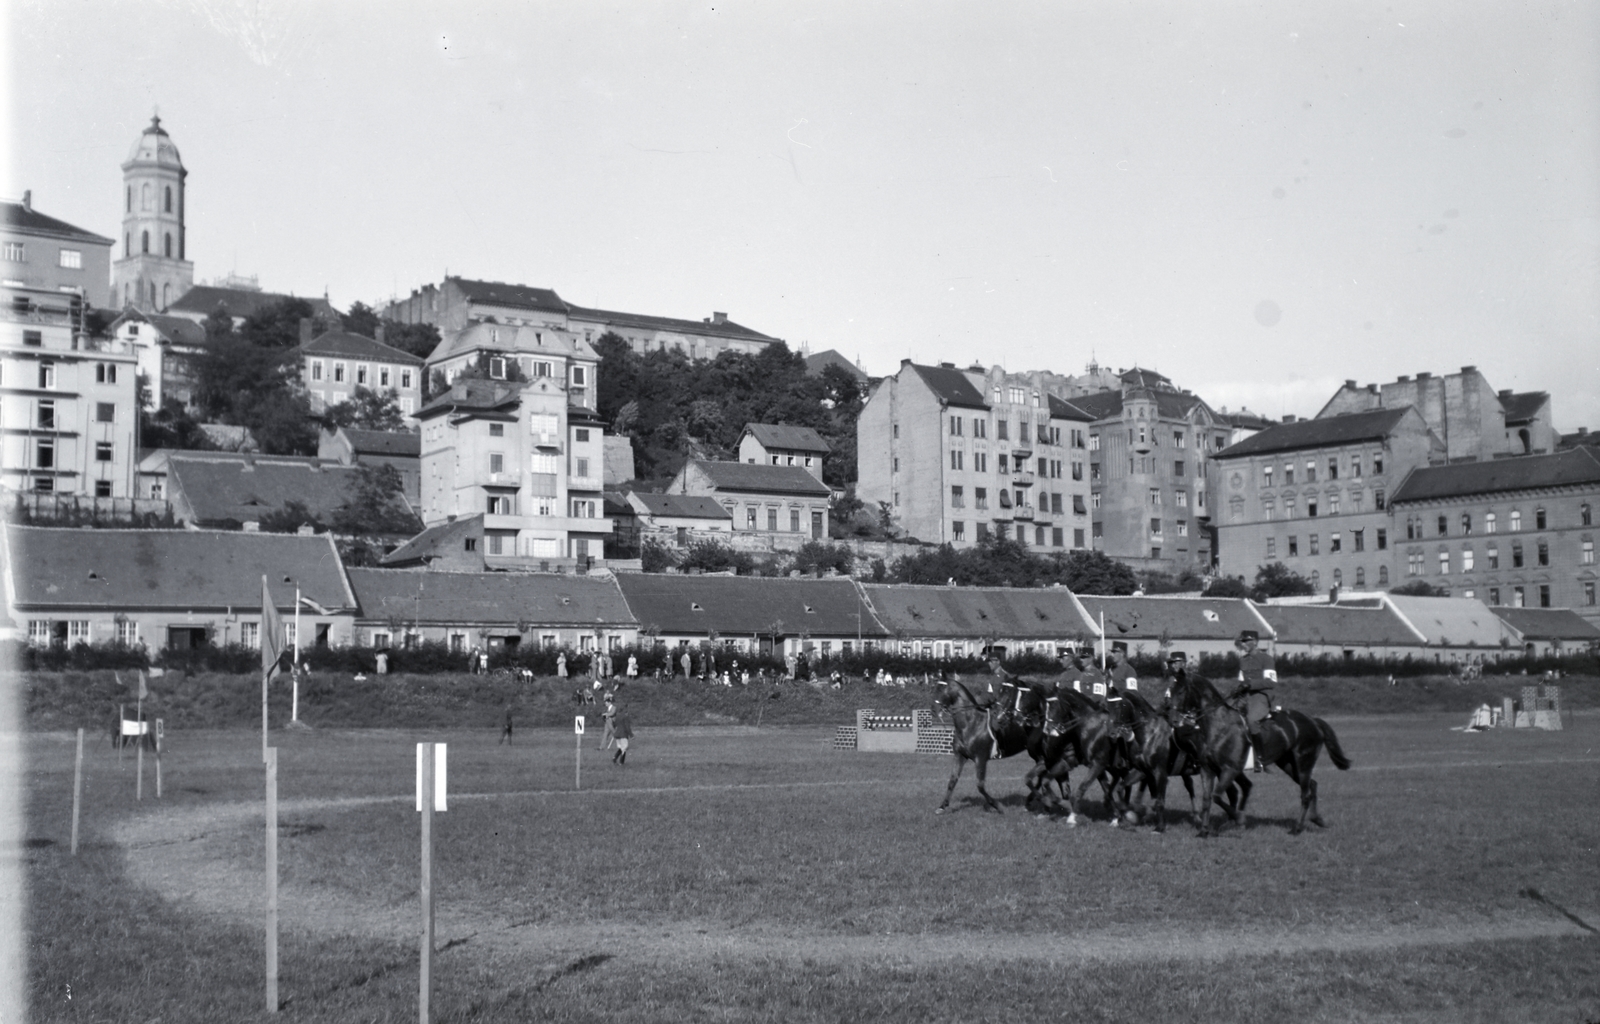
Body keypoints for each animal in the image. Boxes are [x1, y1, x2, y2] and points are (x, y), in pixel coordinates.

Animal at [934, 675, 1043, 812]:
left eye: (941, 688)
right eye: (935, 688)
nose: (933, 709)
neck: (971, 723)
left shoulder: (980, 759)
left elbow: (980, 785)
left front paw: (997, 806)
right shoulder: (960, 756)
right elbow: (952, 780)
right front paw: (942, 806)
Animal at [1177, 672, 1350, 832]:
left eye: (1180, 690)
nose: (1174, 719)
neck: (1219, 725)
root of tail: (1313, 720)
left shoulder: (1229, 769)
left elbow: (1218, 796)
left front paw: (1238, 818)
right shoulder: (1208, 769)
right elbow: (1208, 798)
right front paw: (1206, 829)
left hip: (1303, 762)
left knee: (1305, 793)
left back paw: (1297, 828)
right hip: (1288, 764)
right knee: (1311, 785)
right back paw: (1316, 819)